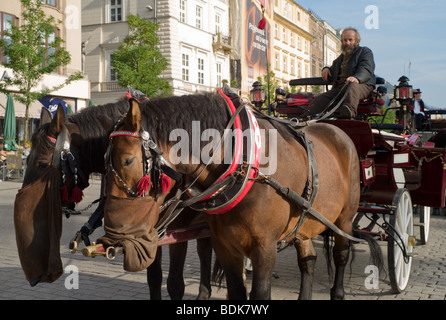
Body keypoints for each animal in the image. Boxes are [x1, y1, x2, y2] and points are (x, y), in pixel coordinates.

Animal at [13, 100, 213, 300]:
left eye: (42, 164)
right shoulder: (151, 231)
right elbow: (154, 277)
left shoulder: (179, 231)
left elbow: (175, 284)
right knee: (205, 250)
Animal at [101, 93, 384, 300]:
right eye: (104, 161)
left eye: (128, 160)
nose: (110, 236)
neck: (244, 164)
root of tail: (337, 129)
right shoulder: (225, 246)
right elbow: (237, 292)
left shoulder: (264, 248)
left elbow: (259, 295)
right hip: (304, 221)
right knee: (308, 260)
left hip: (344, 219)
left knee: (341, 255)